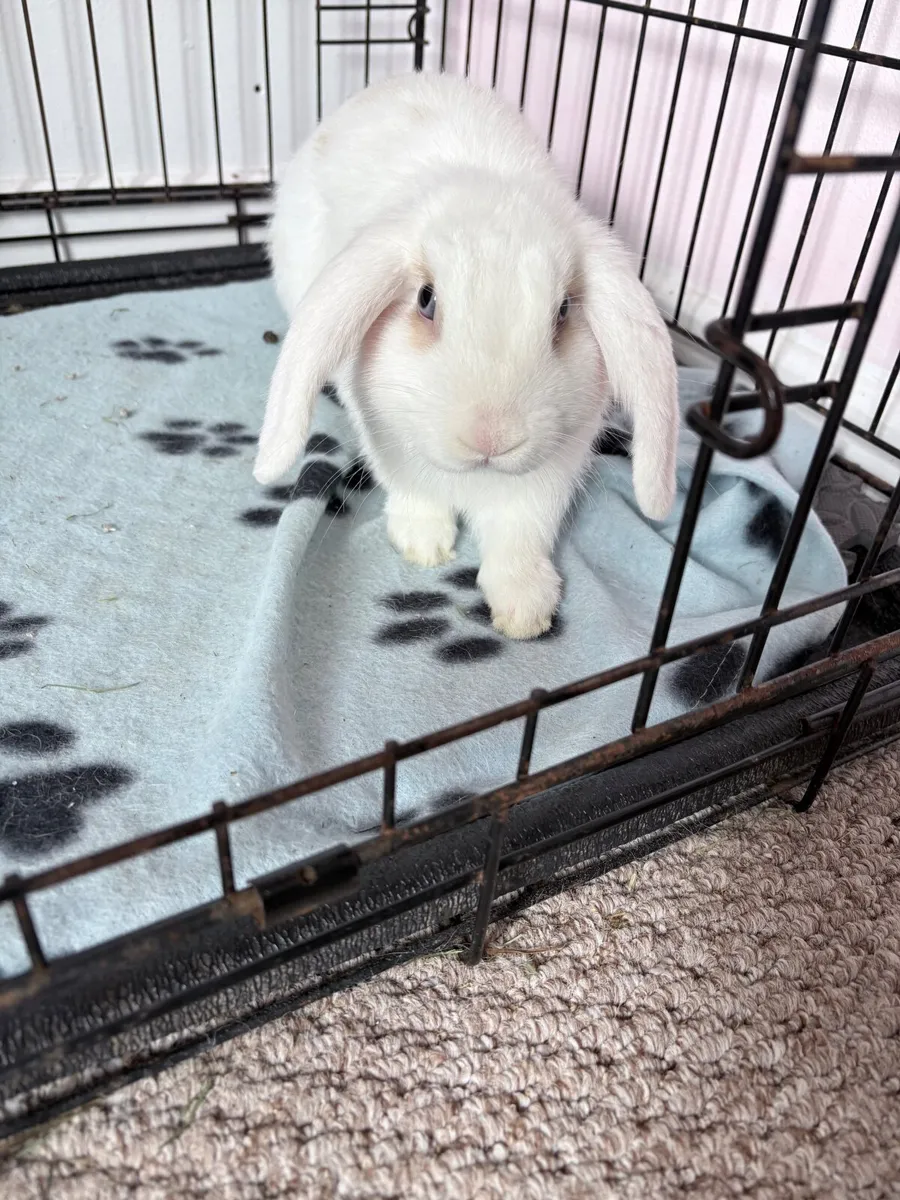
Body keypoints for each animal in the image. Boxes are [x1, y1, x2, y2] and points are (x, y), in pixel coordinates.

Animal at [257, 72, 678, 640]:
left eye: (563, 310)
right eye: (425, 300)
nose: (492, 437)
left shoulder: (547, 478)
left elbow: (519, 536)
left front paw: (525, 610)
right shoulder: (386, 437)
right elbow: (415, 493)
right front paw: (424, 545)